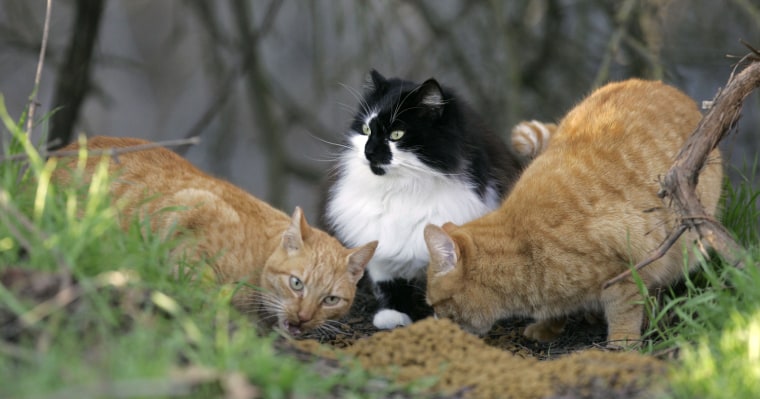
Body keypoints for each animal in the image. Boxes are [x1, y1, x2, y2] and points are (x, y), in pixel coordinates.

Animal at [50, 136, 378, 336]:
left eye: (330, 299)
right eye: (296, 283)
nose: (304, 317)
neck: (260, 257)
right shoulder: (194, 205)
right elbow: (202, 282)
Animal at [324, 70, 524, 330]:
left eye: (396, 135)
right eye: (366, 130)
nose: (368, 152)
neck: (402, 190)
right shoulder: (382, 248)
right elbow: (389, 285)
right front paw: (393, 316)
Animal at [424, 79, 720, 346]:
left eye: (435, 305)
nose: (436, 326)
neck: (524, 242)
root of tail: (665, 87)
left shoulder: (625, 270)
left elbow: (624, 312)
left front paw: (622, 344)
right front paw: (549, 326)